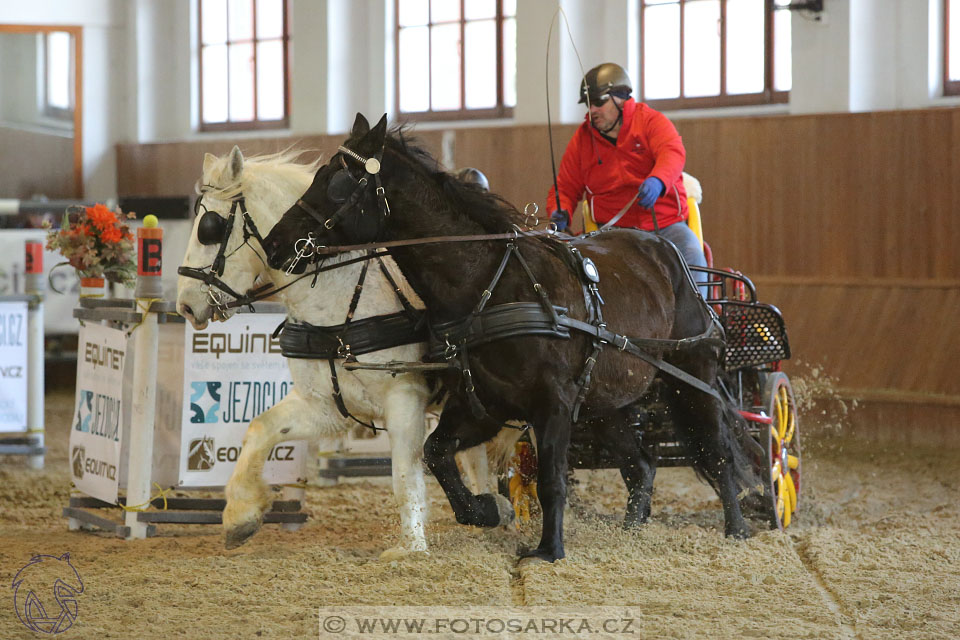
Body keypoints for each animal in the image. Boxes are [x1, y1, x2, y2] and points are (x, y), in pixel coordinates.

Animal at [178, 146, 444, 560]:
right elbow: (262, 428)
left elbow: (404, 476)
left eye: (210, 228)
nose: (185, 306)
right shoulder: (327, 406)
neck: (342, 299)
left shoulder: (405, 398)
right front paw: (241, 514)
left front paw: (413, 548)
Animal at [262, 114, 756, 560]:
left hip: (693, 380)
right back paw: (632, 529)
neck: (489, 284)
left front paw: (548, 550)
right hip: (605, 405)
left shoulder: (552, 404)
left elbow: (551, 481)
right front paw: (484, 510)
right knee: (641, 466)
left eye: (337, 182)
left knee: (718, 454)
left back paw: (737, 529)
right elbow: (436, 453)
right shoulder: (485, 404)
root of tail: (668, 254)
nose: (274, 244)